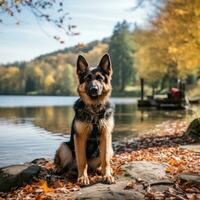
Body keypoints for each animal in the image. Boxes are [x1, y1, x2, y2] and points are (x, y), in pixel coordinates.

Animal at [54, 54, 115, 185]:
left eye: (100, 78)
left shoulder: (106, 135)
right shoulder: (80, 137)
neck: (94, 109)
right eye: (87, 78)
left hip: (110, 148)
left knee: (101, 162)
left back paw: (100, 170)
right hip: (64, 147)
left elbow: (105, 160)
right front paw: (83, 177)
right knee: (65, 164)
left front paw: (107, 175)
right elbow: (82, 161)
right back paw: (60, 169)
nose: (94, 89)